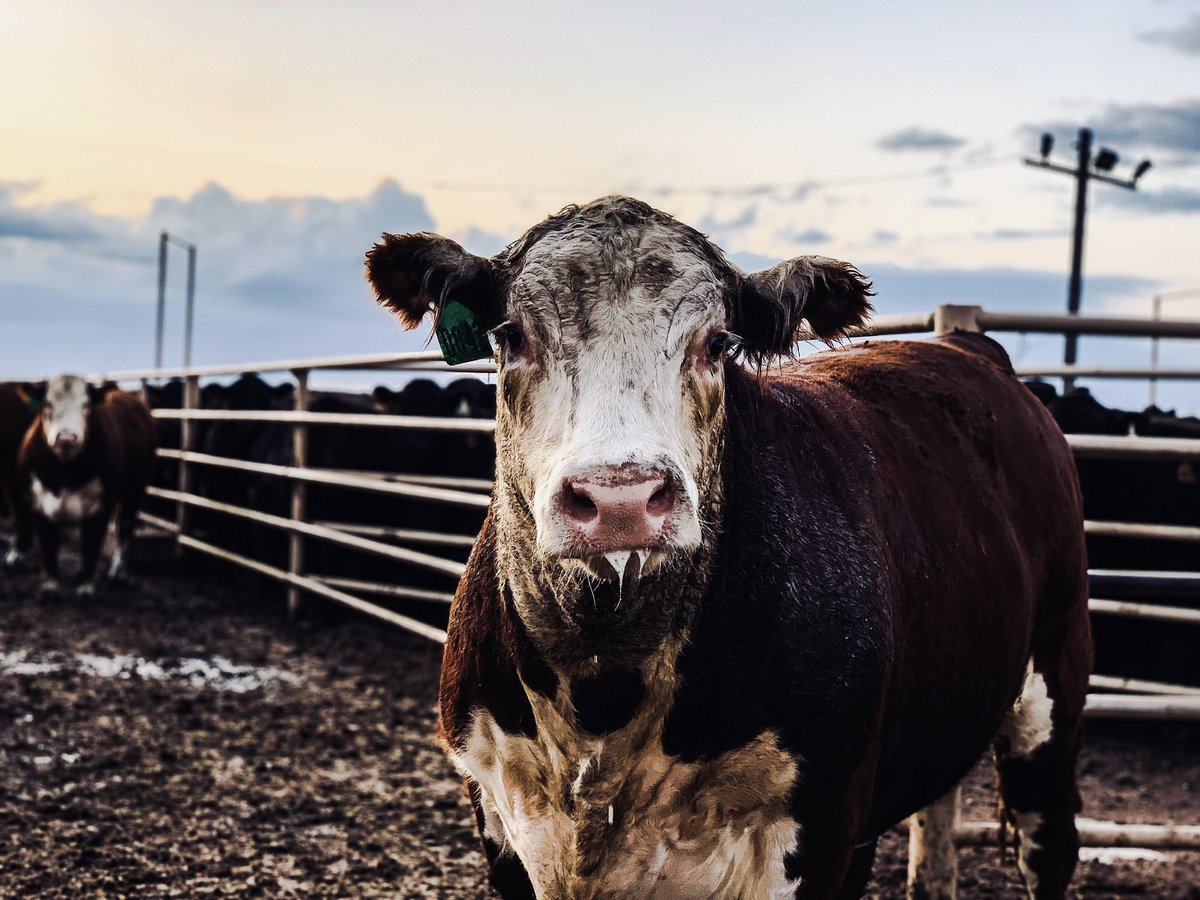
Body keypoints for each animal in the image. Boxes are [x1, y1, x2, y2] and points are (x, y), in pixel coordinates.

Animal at [18, 375, 157, 596]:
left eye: (86, 405)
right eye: (47, 404)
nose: (66, 437)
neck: (64, 472)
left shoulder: (101, 506)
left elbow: (91, 543)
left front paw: (86, 585)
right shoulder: (37, 502)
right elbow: (49, 545)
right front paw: (51, 584)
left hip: (135, 490)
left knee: (125, 527)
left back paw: (118, 573)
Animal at [365, 197, 1092, 900]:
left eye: (716, 342)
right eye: (512, 334)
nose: (620, 497)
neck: (602, 696)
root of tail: (967, 344)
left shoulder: (817, 828)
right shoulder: (497, 814)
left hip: (1051, 700)